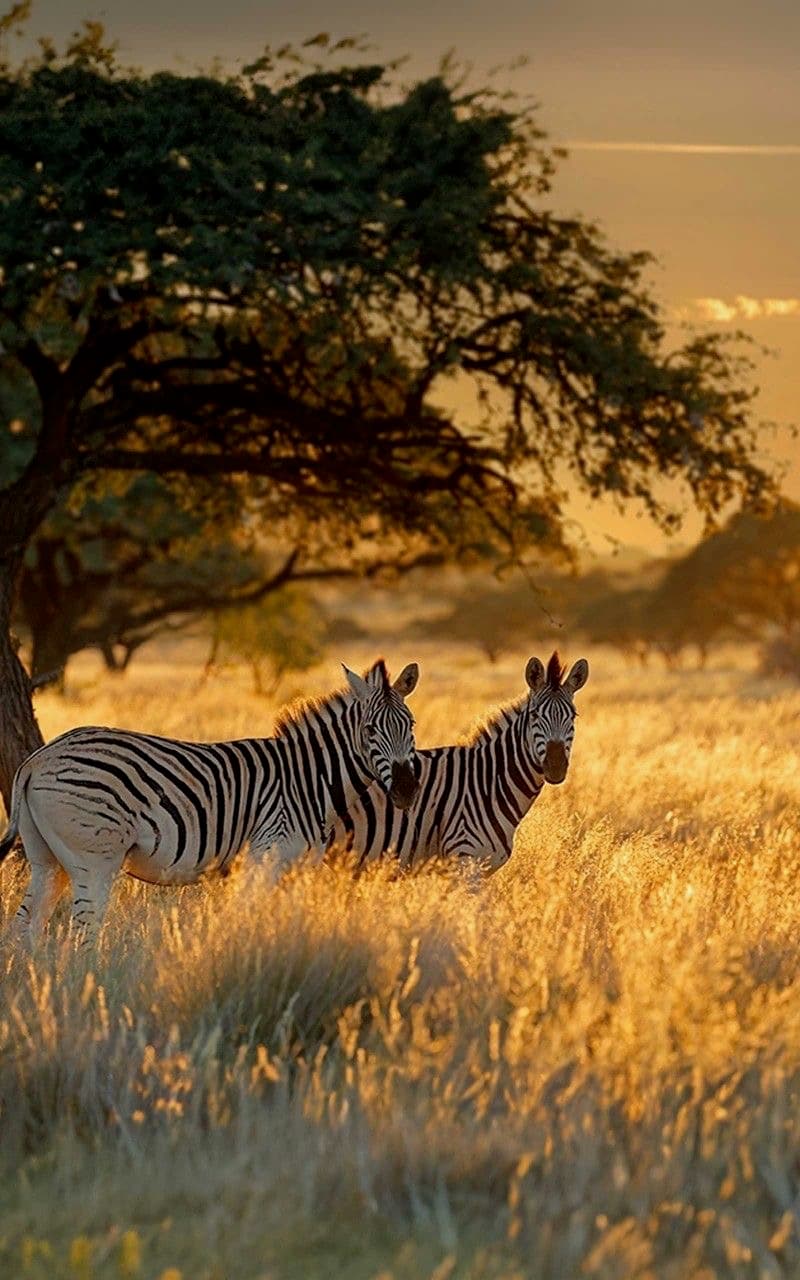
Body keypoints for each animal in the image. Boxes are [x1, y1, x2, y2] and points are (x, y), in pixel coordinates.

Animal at [0, 658, 419, 944]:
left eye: (411, 725)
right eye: (369, 730)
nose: (406, 790)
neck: (307, 779)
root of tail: (38, 758)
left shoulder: (293, 868)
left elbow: (282, 922)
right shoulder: (265, 855)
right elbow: (247, 919)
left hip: (47, 858)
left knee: (24, 927)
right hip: (94, 858)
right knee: (83, 931)